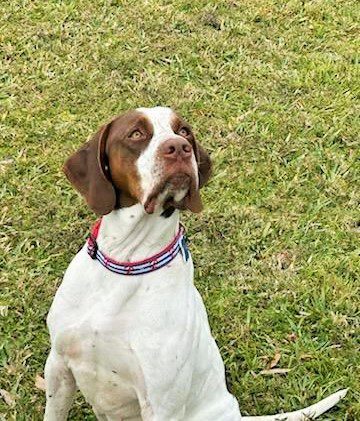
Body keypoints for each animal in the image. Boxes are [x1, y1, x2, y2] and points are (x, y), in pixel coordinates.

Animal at [44, 107, 346, 420]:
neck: (128, 262)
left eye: (184, 131)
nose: (179, 147)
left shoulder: (161, 404)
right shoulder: (58, 366)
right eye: (136, 133)